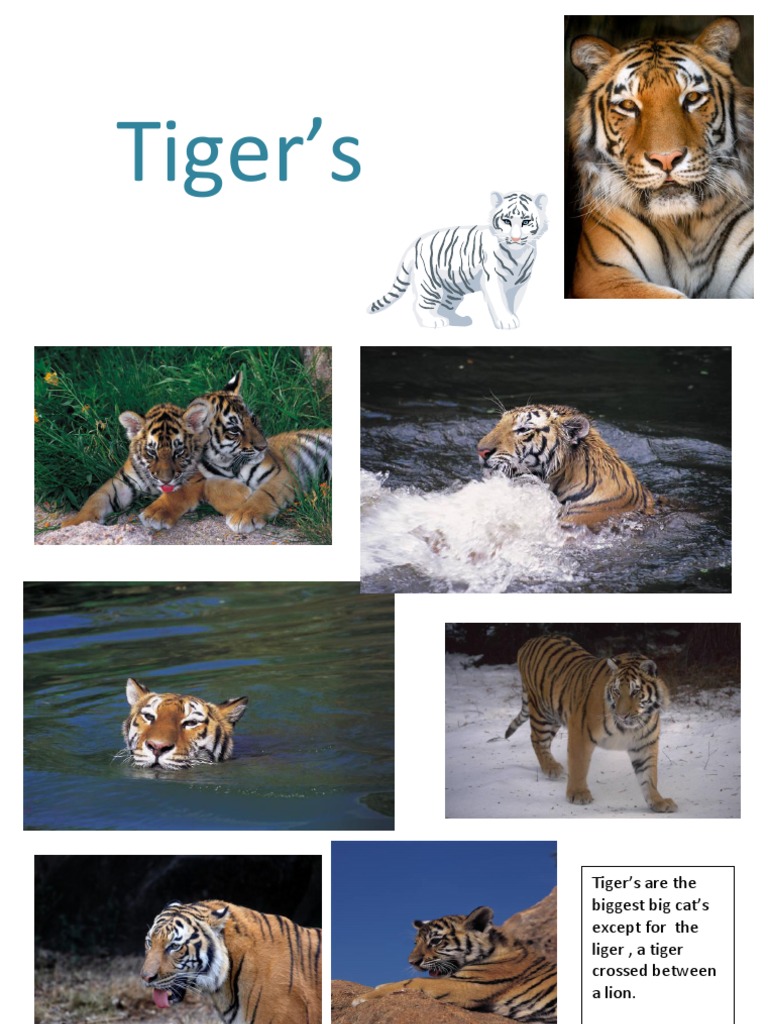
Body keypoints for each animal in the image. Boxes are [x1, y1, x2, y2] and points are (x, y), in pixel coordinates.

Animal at [62, 403, 205, 526]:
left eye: (179, 451)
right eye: (151, 452)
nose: (165, 480)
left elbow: (178, 491)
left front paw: (155, 515)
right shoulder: (122, 483)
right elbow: (95, 498)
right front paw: (75, 523)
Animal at [140, 371, 332, 534]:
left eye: (253, 420)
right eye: (234, 430)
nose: (263, 446)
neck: (227, 463)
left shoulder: (281, 473)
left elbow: (264, 494)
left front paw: (243, 516)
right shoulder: (194, 476)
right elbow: (182, 491)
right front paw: (153, 513)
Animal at [351, 905, 556, 1022]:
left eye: (435, 941)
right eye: (415, 943)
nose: (412, 962)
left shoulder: (467, 984)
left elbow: (412, 982)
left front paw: (363, 997)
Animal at [368, 191, 548, 328]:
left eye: (526, 222)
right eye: (506, 221)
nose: (515, 238)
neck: (518, 254)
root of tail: (414, 245)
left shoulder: (520, 282)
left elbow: (513, 302)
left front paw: (512, 317)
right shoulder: (493, 279)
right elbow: (500, 301)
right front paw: (507, 321)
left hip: (454, 288)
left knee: (445, 307)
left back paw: (459, 321)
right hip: (430, 284)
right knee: (420, 305)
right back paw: (433, 321)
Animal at [506, 635, 677, 813]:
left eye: (635, 691)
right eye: (616, 691)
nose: (622, 715)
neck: (632, 726)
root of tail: (529, 641)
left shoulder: (645, 744)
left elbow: (649, 775)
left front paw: (658, 801)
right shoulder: (580, 731)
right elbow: (578, 764)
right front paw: (578, 794)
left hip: (554, 715)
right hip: (542, 712)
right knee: (537, 739)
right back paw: (551, 768)